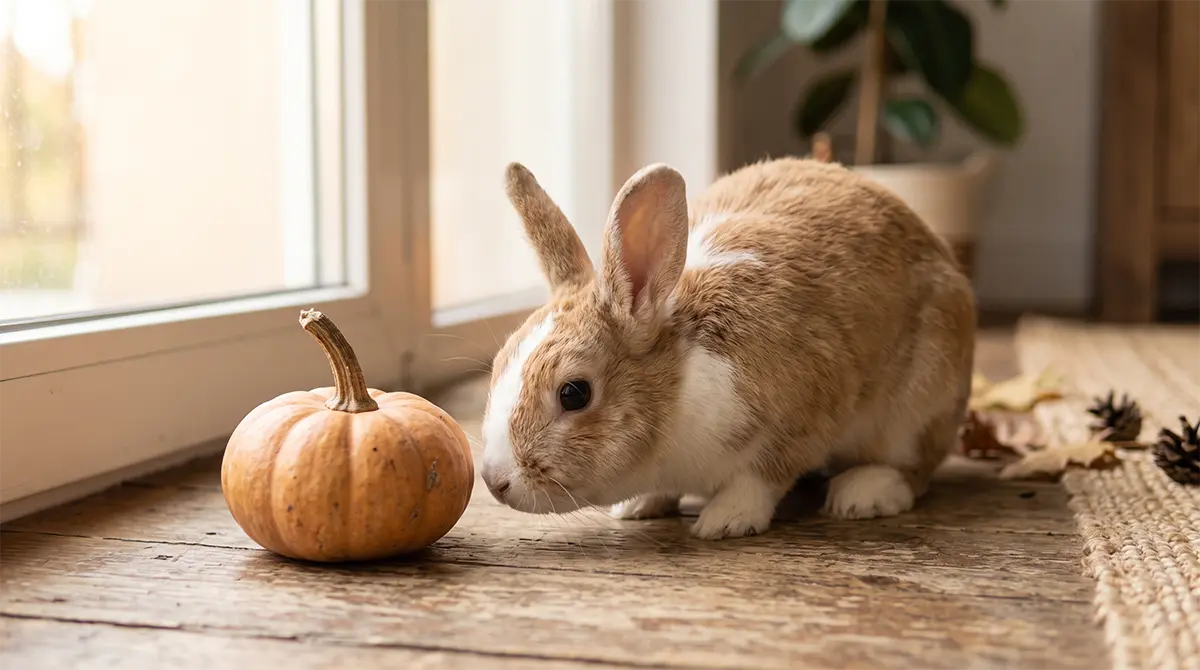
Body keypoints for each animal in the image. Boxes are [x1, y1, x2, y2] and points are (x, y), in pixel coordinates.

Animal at [479, 157, 976, 540]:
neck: (677, 388)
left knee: (912, 469)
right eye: (499, 364)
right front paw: (638, 505)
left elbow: (760, 477)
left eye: (574, 393)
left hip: (918, 405)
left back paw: (861, 494)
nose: (494, 481)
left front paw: (725, 520)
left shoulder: (802, 414)